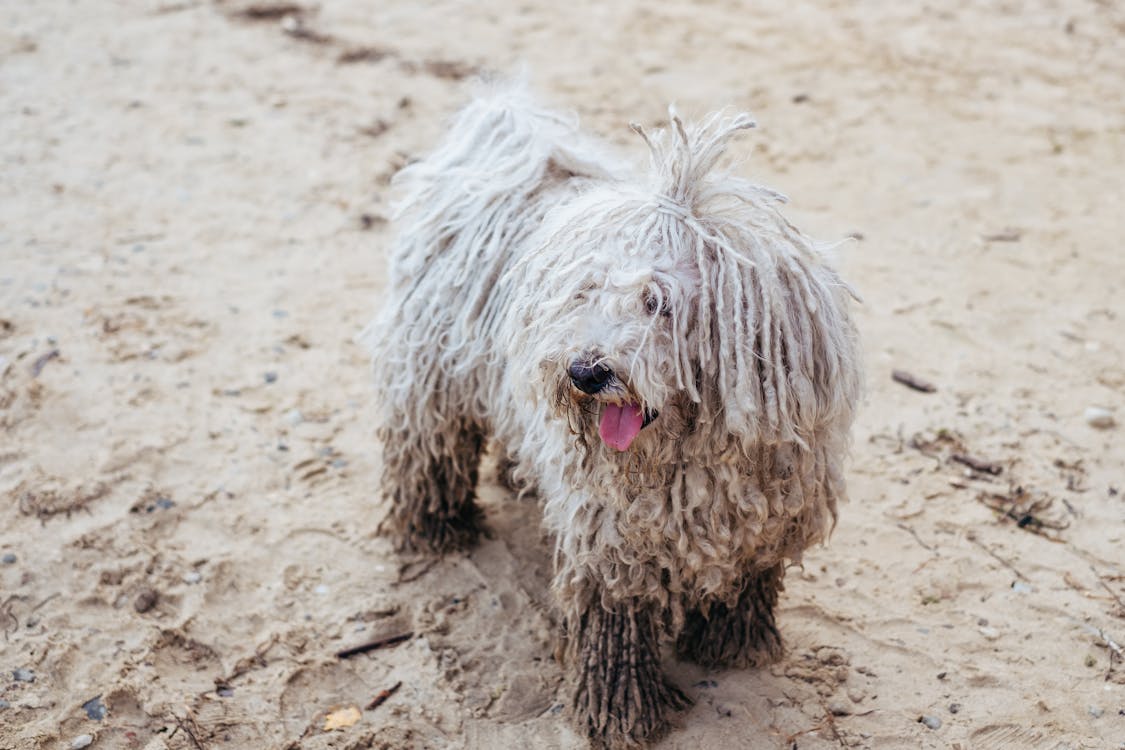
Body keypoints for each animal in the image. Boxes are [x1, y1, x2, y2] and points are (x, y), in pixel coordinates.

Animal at [364, 84, 864, 746]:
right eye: (585, 291)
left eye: (660, 303)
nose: (585, 371)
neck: (691, 456)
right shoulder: (611, 535)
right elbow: (615, 623)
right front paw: (622, 714)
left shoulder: (770, 513)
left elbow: (749, 580)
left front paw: (736, 644)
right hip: (430, 372)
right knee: (428, 448)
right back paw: (436, 529)